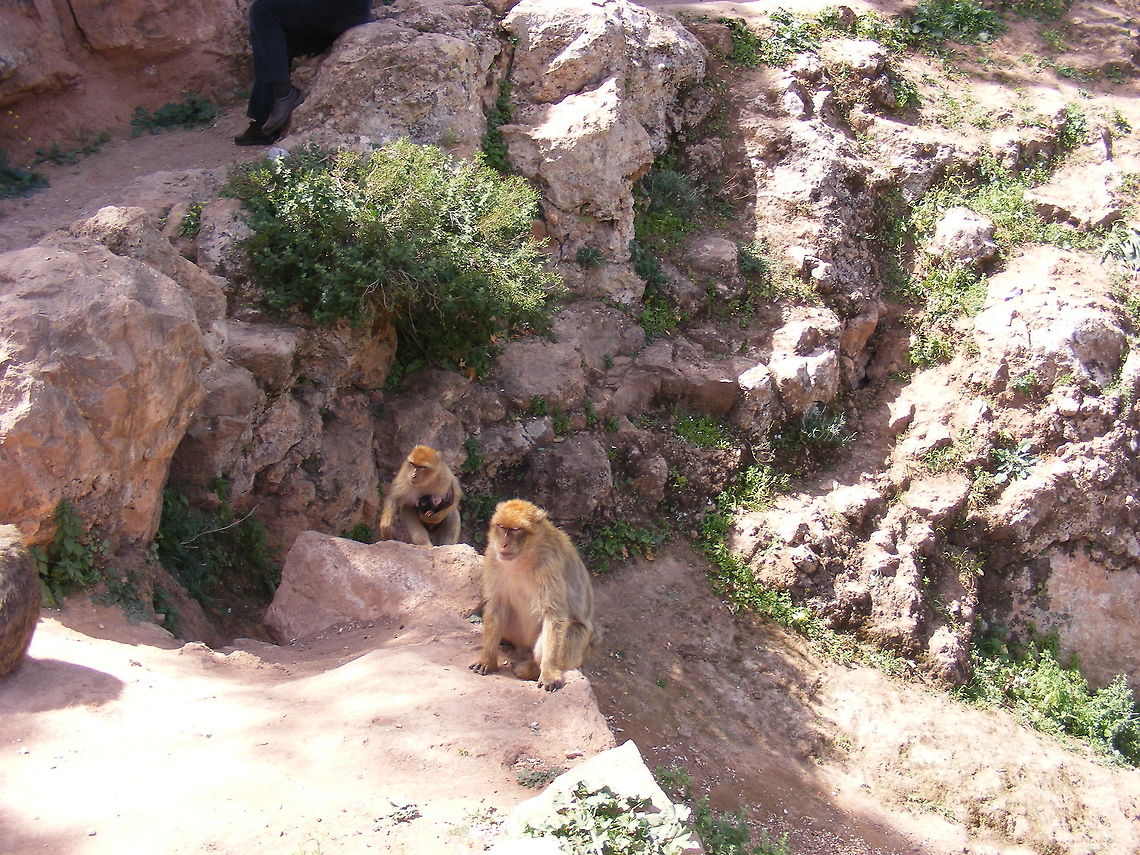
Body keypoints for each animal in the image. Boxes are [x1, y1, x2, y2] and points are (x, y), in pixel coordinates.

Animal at [470, 499, 595, 692]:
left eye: (516, 530)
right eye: (501, 527)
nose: (503, 544)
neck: (522, 558)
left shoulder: (549, 563)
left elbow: (554, 615)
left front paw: (548, 672)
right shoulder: (492, 555)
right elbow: (497, 604)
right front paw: (488, 659)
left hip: (580, 645)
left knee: (568, 632)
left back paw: (531, 668)